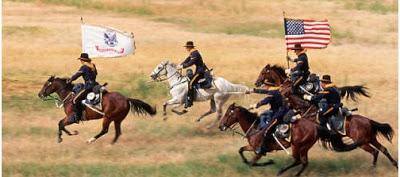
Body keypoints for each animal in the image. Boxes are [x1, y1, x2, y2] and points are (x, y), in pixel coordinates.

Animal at [219, 103, 360, 176]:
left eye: (228, 113)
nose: (221, 126)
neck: (255, 127)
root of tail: (315, 126)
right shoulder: (253, 148)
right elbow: (241, 150)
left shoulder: (258, 151)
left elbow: (252, 163)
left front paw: (269, 162)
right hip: (304, 147)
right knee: (303, 162)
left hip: (297, 146)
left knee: (298, 160)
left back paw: (282, 172)